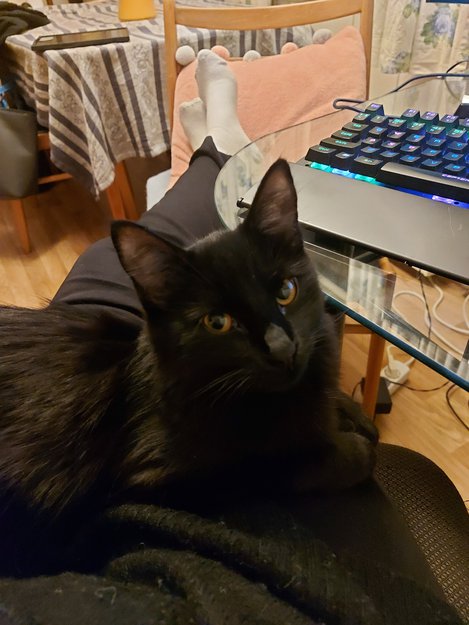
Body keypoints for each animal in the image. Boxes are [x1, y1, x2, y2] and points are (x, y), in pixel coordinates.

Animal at [0, 159, 377, 518]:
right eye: (218, 322)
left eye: (286, 291)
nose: (283, 348)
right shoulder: (158, 478)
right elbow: (274, 463)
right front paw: (355, 449)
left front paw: (355, 415)